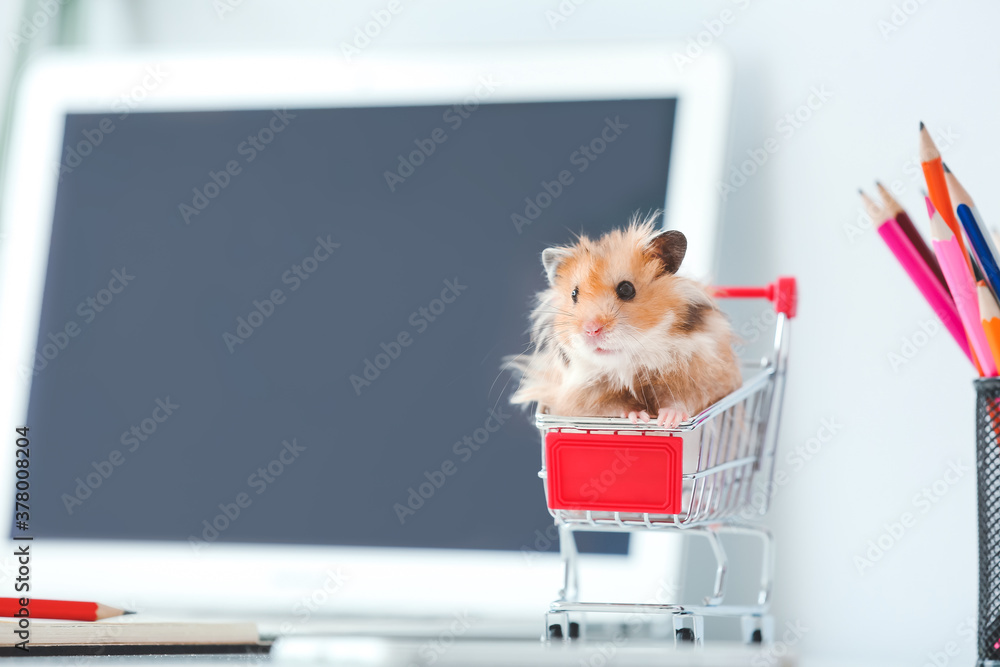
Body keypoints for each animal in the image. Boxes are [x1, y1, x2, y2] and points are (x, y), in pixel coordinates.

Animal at [508, 217, 744, 430]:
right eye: (574, 294)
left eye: (626, 289)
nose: (591, 330)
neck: (630, 361)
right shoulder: (576, 398)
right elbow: (612, 407)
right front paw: (640, 417)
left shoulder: (705, 375)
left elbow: (682, 399)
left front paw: (667, 421)